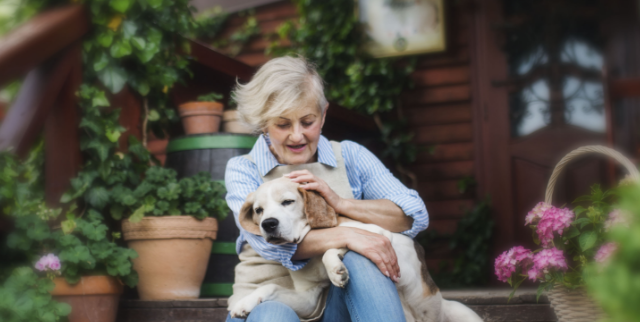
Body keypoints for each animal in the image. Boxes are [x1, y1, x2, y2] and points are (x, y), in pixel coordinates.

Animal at [230, 177, 480, 320]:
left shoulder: (380, 237)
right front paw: (245, 302)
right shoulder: (308, 299)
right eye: (259, 210)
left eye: (288, 202)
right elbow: (270, 287)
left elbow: (337, 245)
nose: (268, 224)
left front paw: (335, 269)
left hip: (462, 312)